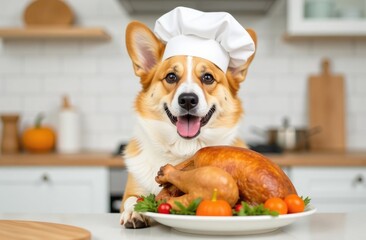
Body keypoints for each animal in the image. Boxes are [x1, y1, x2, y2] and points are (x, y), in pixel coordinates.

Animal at [121, 21, 258, 228]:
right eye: (171, 77)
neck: (182, 149)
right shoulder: (130, 191)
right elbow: (132, 199)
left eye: (208, 77)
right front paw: (134, 212)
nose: (187, 100)